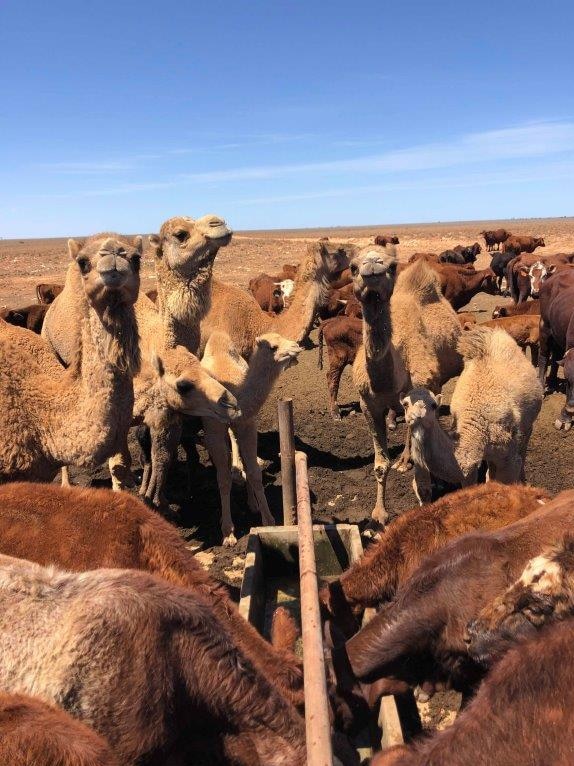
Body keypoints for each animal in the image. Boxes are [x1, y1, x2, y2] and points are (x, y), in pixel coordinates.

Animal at [200, 330, 304, 544]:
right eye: (273, 346)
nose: (297, 346)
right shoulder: (213, 431)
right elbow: (222, 478)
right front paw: (228, 532)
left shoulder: (248, 425)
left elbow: (255, 473)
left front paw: (268, 520)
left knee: (235, 439)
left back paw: (250, 499)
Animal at [404, 328, 544, 508]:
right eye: (405, 404)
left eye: (433, 405)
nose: (415, 416)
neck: (477, 429)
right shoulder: (469, 469)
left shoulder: (509, 458)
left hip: (528, 423)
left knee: (524, 446)